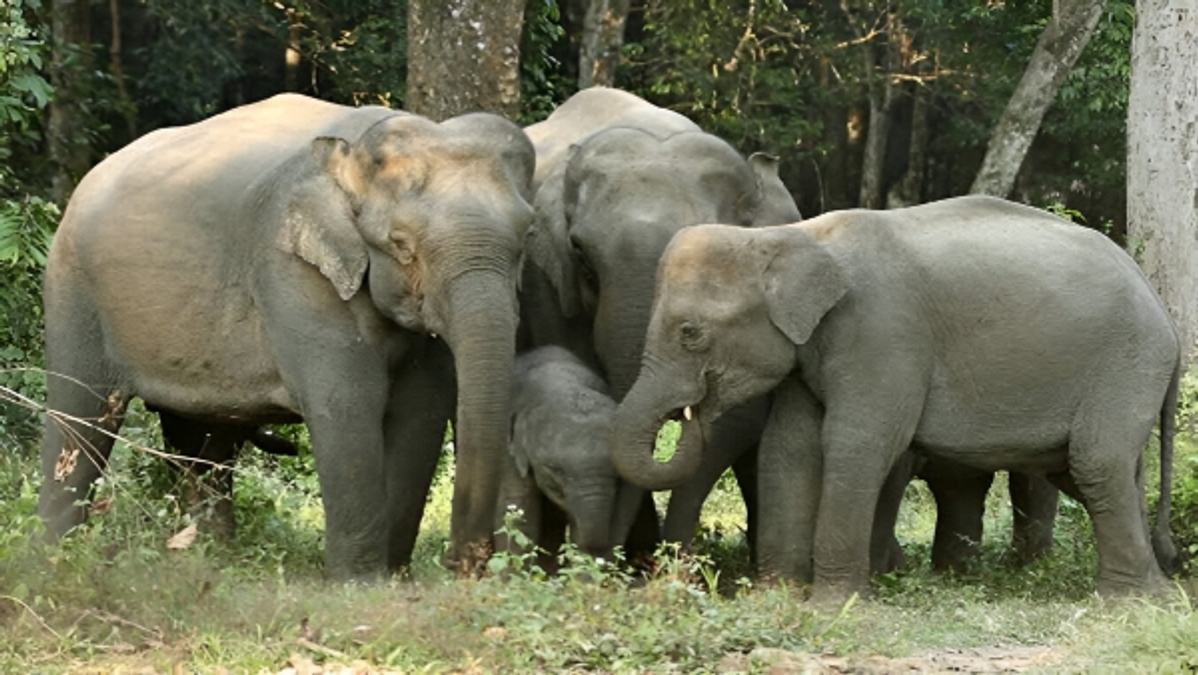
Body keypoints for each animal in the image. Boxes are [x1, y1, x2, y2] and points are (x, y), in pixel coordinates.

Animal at [38, 93, 535, 580]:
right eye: (401, 245)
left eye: (527, 235)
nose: (464, 565)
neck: (353, 152)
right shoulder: (290, 270)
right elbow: (347, 402)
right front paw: (359, 583)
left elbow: (422, 408)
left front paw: (394, 577)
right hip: (72, 287)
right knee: (81, 416)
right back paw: (55, 555)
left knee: (201, 436)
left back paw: (210, 556)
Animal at [613, 195, 1179, 600]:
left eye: (690, 334)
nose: (692, 411)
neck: (794, 237)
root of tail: (1161, 307)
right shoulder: (810, 351)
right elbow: (790, 447)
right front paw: (777, 597)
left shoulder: (882, 334)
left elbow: (856, 444)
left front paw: (835, 604)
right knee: (1094, 470)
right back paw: (1158, 591)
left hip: (1127, 361)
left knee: (1096, 461)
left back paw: (1125, 601)